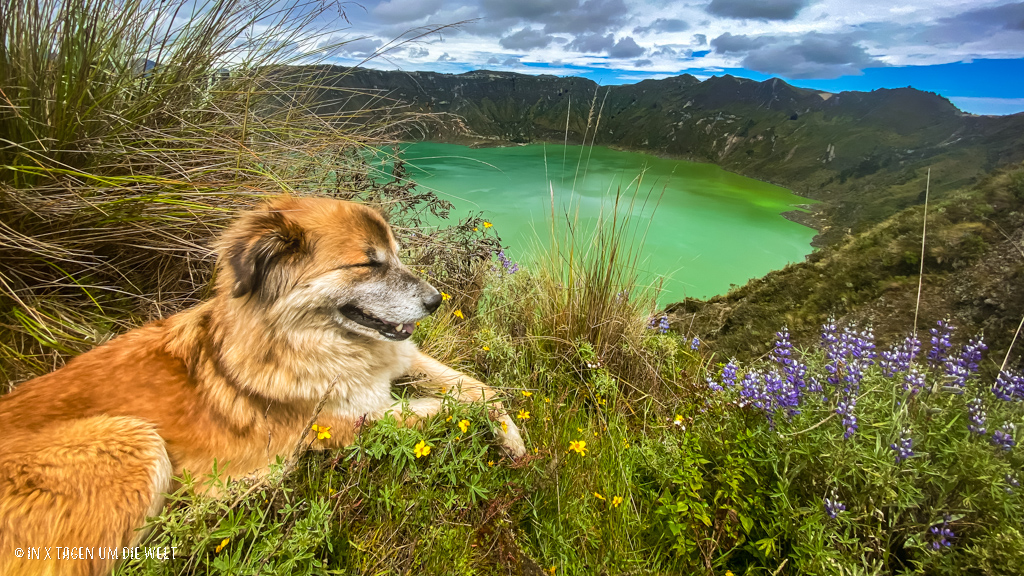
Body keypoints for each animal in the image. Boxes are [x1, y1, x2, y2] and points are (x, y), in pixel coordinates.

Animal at [0, 195, 528, 573]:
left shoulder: (398, 362)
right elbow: (455, 408)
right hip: (131, 440)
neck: (308, 339)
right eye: (368, 263)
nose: (436, 301)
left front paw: (514, 438)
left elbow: (480, 390)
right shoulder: (349, 422)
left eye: (395, 256)